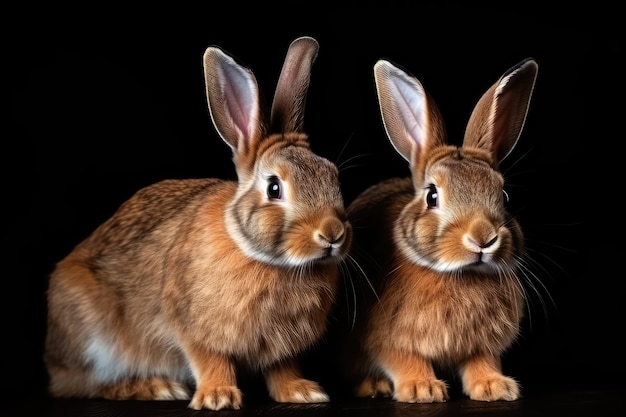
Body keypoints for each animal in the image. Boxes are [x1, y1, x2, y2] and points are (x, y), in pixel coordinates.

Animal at [45, 35, 352, 410]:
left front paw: (302, 392)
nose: (332, 234)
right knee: (92, 384)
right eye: (274, 188)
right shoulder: (192, 327)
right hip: (94, 340)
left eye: (332, 175)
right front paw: (218, 397)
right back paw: (156, 387)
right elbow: (209, 359)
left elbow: (282, 367)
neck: (270, 262)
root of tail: (55, 366)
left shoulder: (283, 346)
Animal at [338, 57, 540, 402]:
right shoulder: (388, 338)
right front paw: (422, 389)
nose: (483, 238)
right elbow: (404, 358)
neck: (460, 274)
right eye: (432, 196)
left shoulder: (482, 344)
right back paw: (374, 386)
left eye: (503, 196)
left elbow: (481, 361)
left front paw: (495, 386)